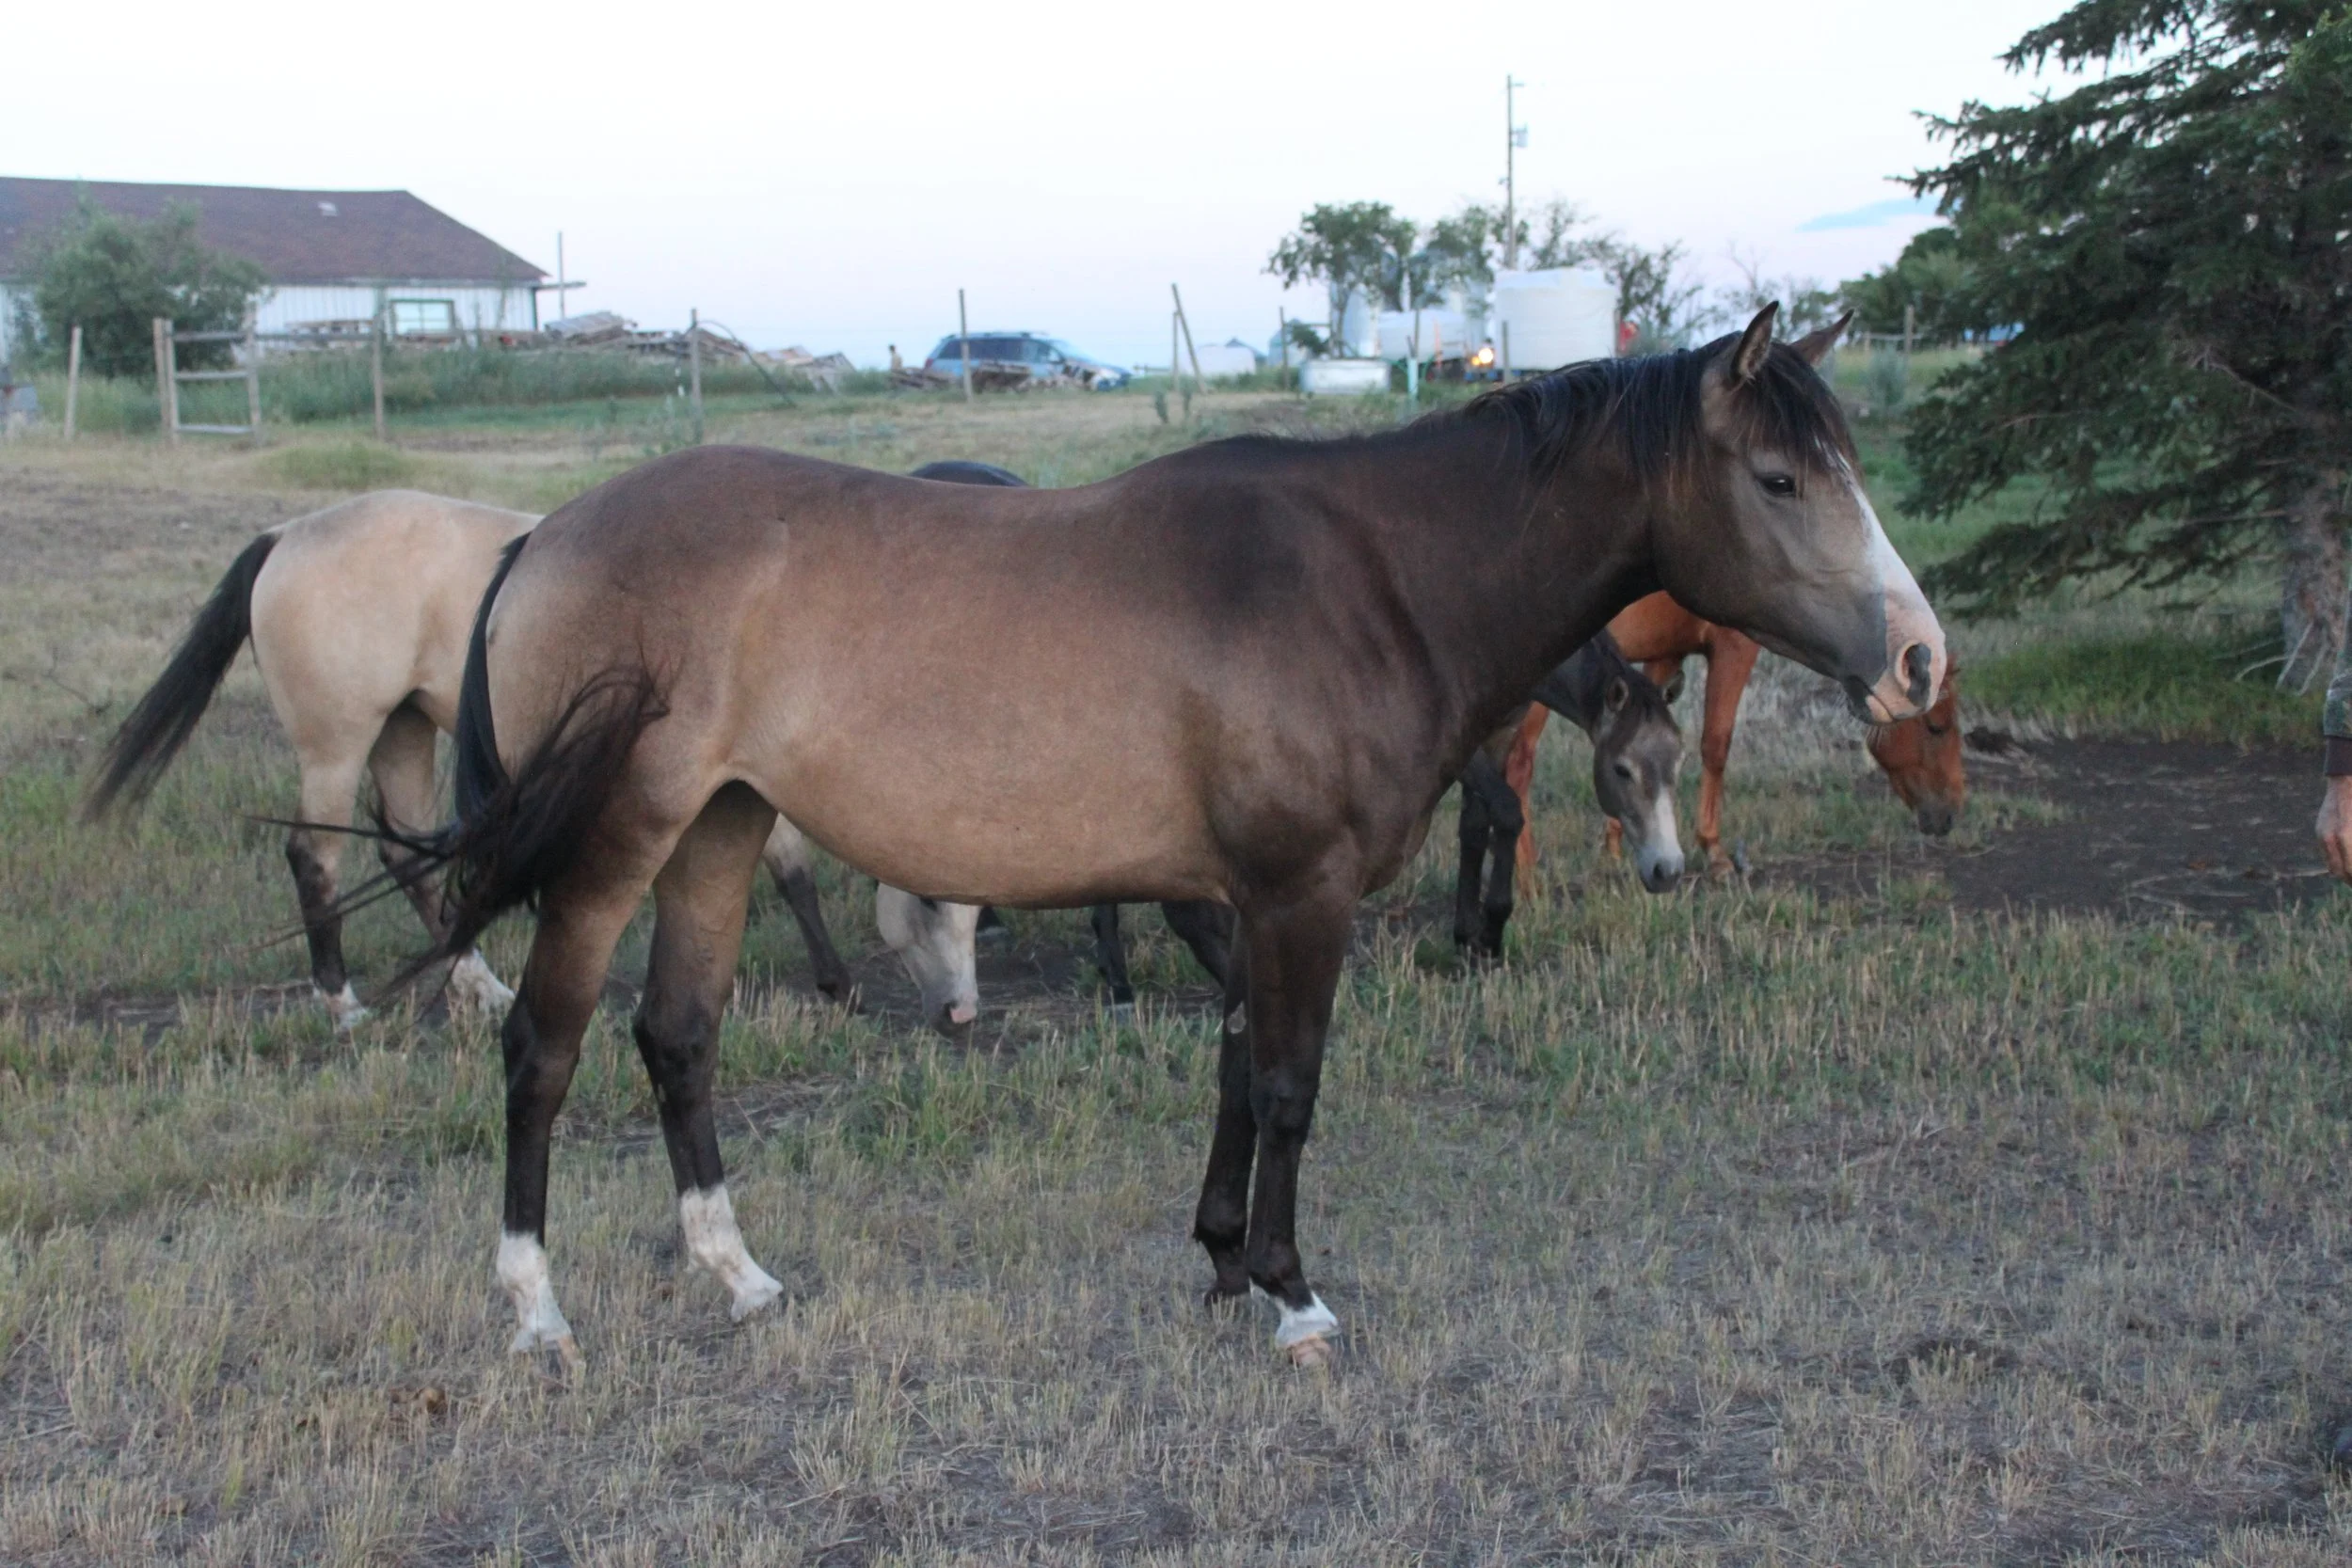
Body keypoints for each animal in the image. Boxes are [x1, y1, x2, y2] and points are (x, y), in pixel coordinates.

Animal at [85, 489, 979, 1030]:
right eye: (935, 902)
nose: (961, 1013)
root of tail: (287, 535)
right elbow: (793, 872)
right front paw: (840, 983)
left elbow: (789, 870)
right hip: (336, 744)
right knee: (316, 856)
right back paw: (342, 1003)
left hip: (402, 732)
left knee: (407, 855)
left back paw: (478, 985)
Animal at [1453, 631, 1684, 961]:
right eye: (1622, 769)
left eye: (1680, 760)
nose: (1668, 871)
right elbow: (1507, 810)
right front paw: (1490, 931)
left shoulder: (1497, 737)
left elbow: (1474, 825)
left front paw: (1467, 936)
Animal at [1501, 591, 1967, 871]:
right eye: (1937, 727)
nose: (1951, 813)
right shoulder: (1733, 648)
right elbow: (1716, 743)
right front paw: (1714, 851)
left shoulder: (1665, 657)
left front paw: (1616, 846)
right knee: (1516, 770)